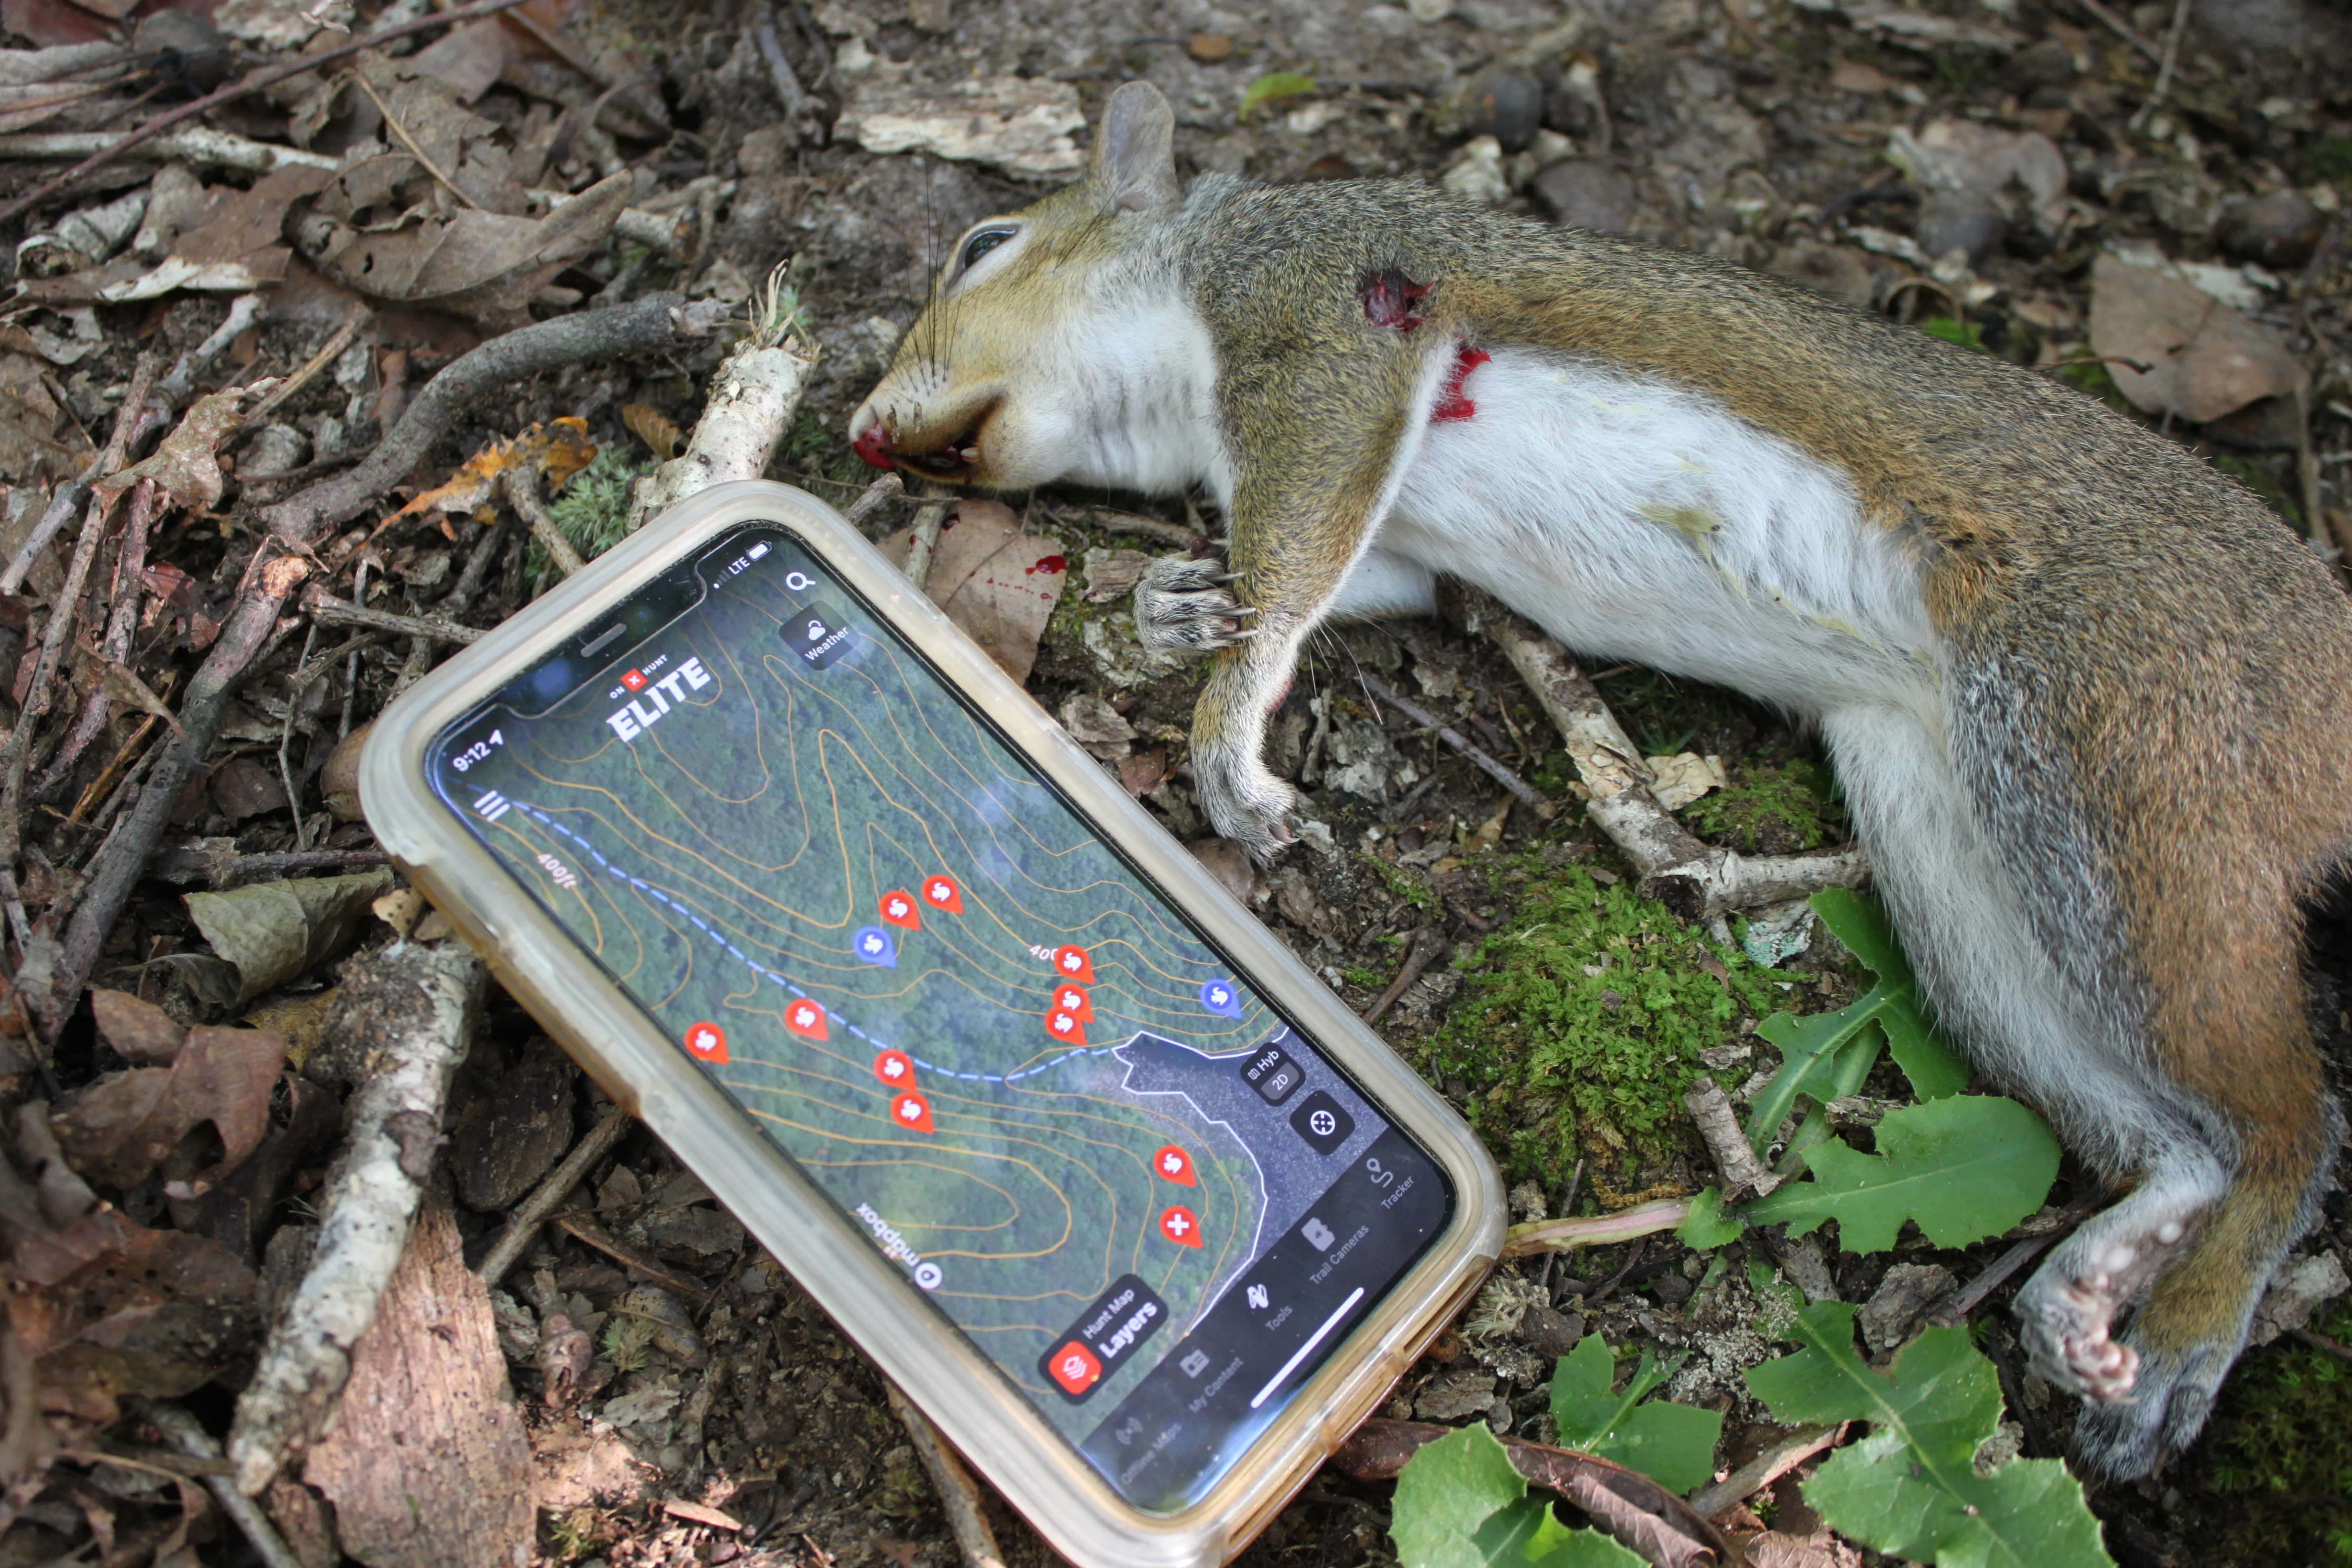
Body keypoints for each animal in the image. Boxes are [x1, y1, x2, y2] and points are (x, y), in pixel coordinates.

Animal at [861, 83, 2352, 1485]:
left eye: (985, 245)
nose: (871, 437)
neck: (1181, 336)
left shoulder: (1328, 318)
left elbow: (1290, 557)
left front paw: (1229, 739)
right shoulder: (1394, 546)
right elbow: (1329, 581)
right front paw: (1171, 612)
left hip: (2125, 755)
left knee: (2288, 1123)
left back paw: (2185, 1328)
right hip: (1957, 857)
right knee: (2185, 1139)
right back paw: (2109, 1275)